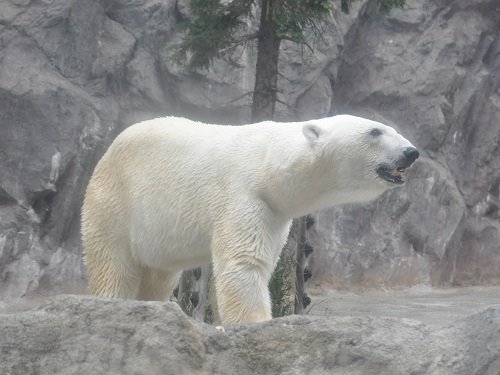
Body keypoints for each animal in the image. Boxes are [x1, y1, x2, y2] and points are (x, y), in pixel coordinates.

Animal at [82, 116, 418, 324]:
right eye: (375, 131)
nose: (411, 152)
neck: (269, 162)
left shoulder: (275, 211)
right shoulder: (244, 193)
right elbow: (244, 264)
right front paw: (257, 322)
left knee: (158, 274)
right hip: (116, 201)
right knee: (114, 264)